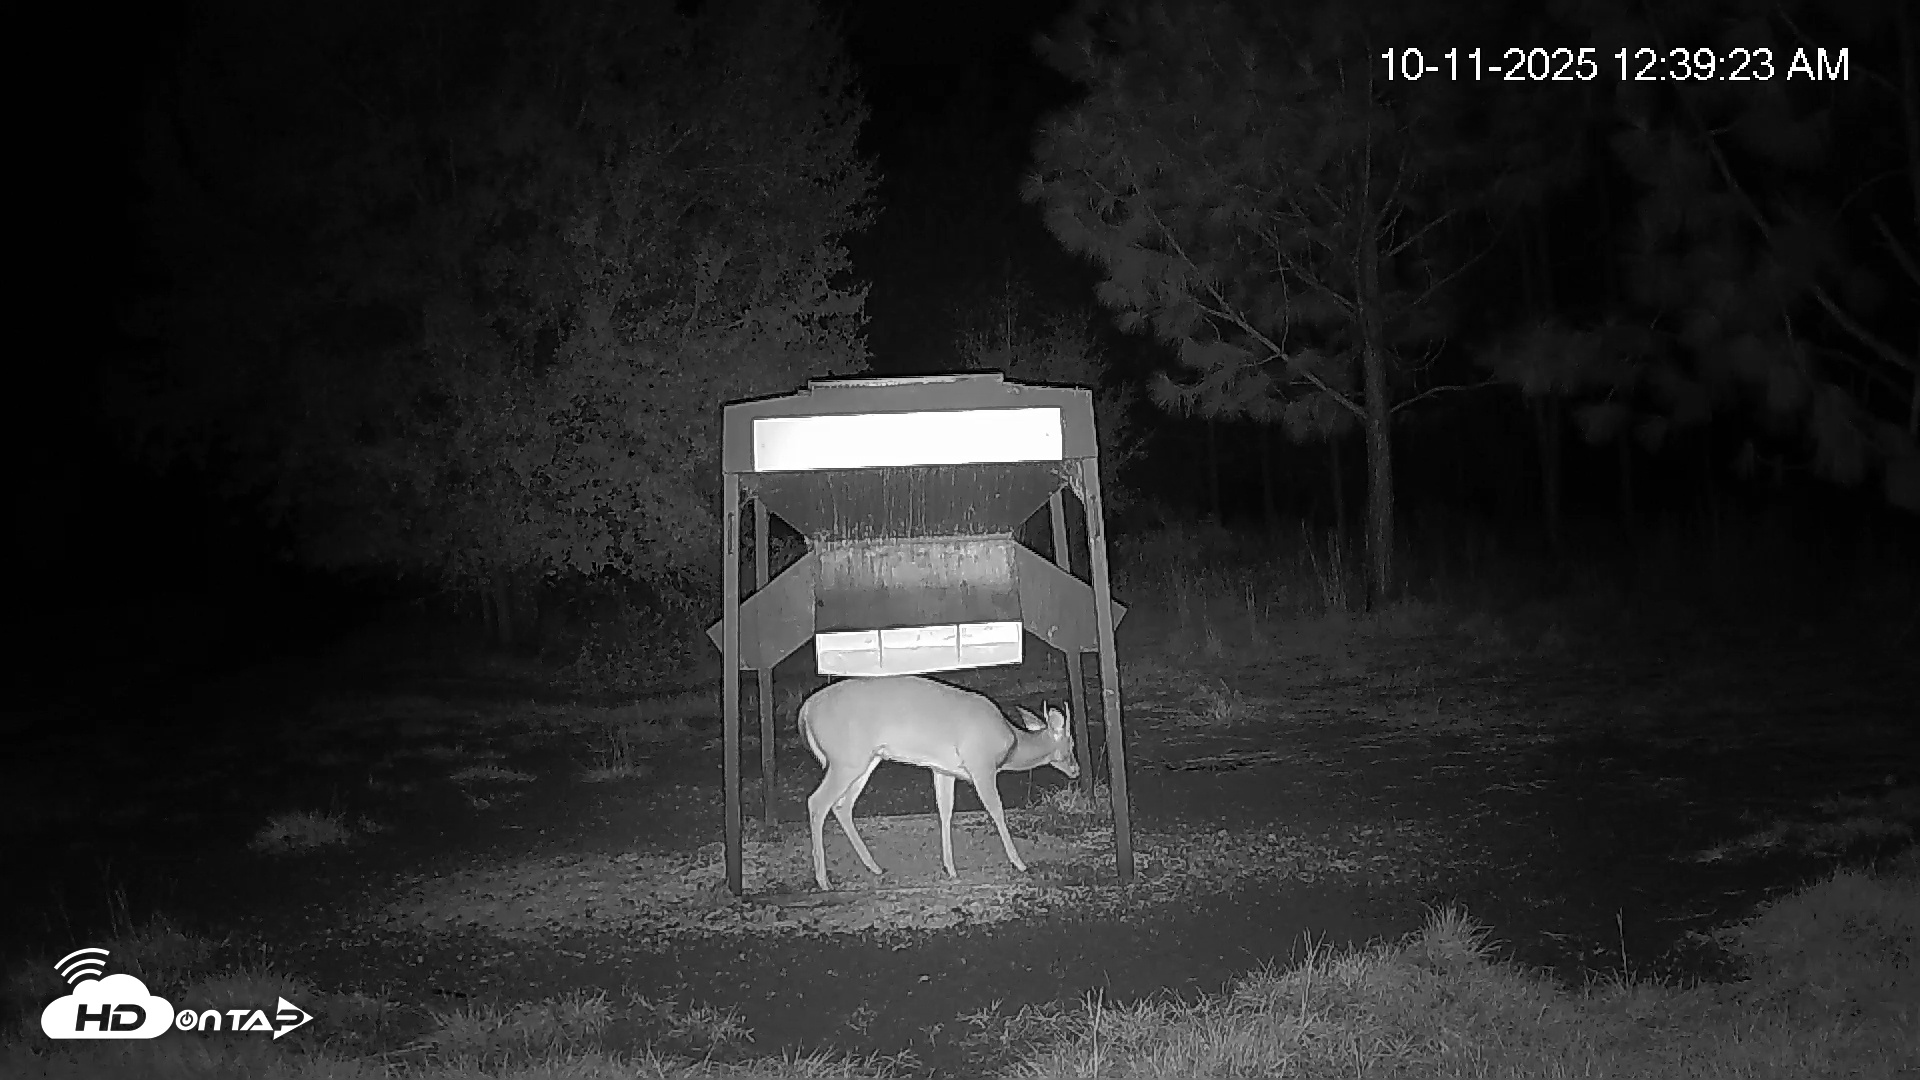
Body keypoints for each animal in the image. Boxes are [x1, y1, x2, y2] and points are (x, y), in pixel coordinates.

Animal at [797, 674, 1079, 891]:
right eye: (1072, 743)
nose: (1076, 770)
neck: (1012, 743)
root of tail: (806, 710)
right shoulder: (981, 764)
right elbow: (996, 810)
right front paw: (1019, 863)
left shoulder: (943, 769)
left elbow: (945, 811)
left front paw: (950, 868)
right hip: (846, 759)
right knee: (817, 802)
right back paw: (823, 881)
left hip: (865, 760)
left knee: (842, 806)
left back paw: (874, 867)